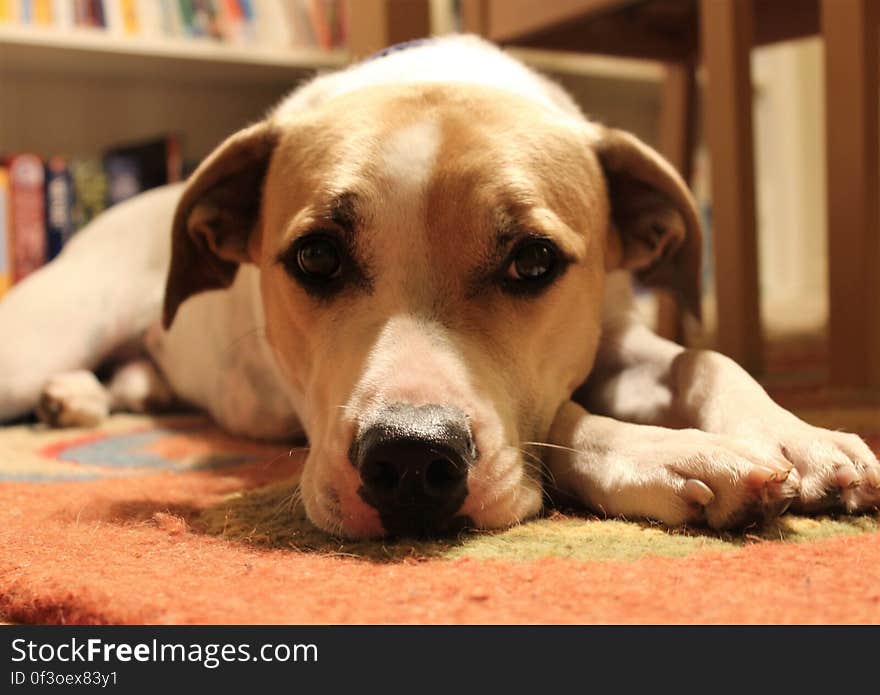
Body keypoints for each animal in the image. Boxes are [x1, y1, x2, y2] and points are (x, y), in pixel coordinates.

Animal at [0, 36, 876, 540]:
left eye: (533, 261)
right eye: (316, 257)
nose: (412, 461)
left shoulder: (613, 334)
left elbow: (704, 359)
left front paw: (800, 435)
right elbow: (559, 415)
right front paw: (681, 456)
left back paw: (82, 397)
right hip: (39, 335)